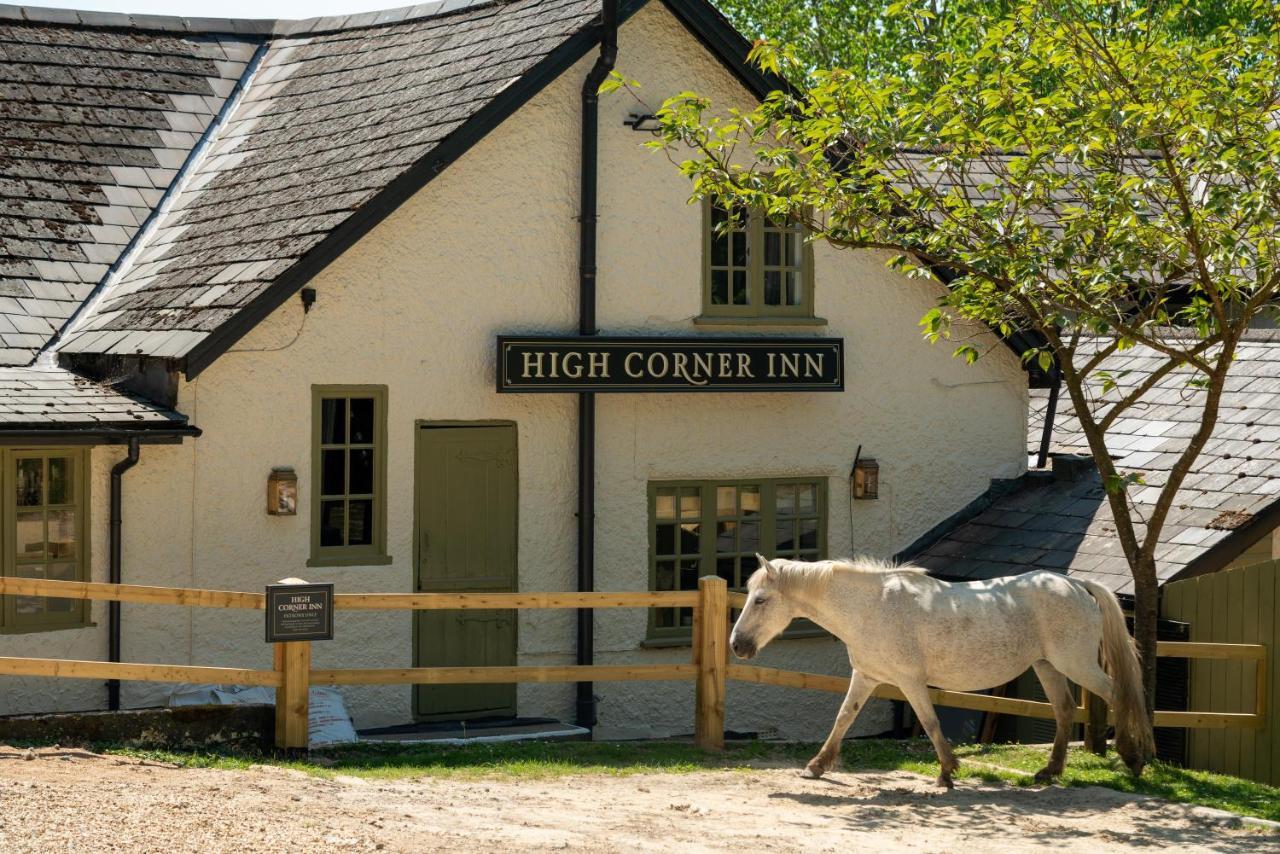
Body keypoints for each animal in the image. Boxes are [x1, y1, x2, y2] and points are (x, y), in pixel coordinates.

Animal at [727, 555, 1157, 788]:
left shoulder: (909, 681)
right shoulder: (867, 677)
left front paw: (948, 772)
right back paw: (1049, 772)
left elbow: (930, 722)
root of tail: (1076, 583)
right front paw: (816, 766)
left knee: (1119, 694)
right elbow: (843, 718)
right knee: (1066, 710)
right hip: (1048, 667)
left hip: (1076, 664)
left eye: (760, 599)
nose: (737, 645)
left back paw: (1133, 757)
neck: (871, 608)